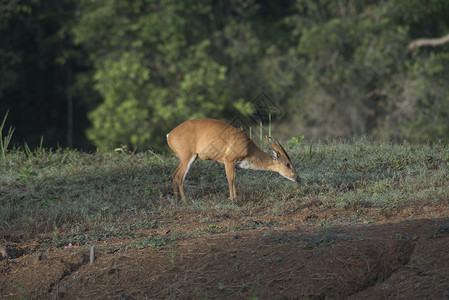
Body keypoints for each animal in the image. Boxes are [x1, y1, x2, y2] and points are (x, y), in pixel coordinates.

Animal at [166, 118, 300, 203]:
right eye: (287, 164)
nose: (297, 178)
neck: (248, 150)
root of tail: (169, 135)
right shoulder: (229, 159)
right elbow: (230, 179)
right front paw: (232, 200)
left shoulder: (235, 164)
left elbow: (234, 179)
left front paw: (236, 198)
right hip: (186, 156)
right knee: (180, 177)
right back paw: (184, 200)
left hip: (185, 158)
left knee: (174, 174)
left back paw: (176, 201)